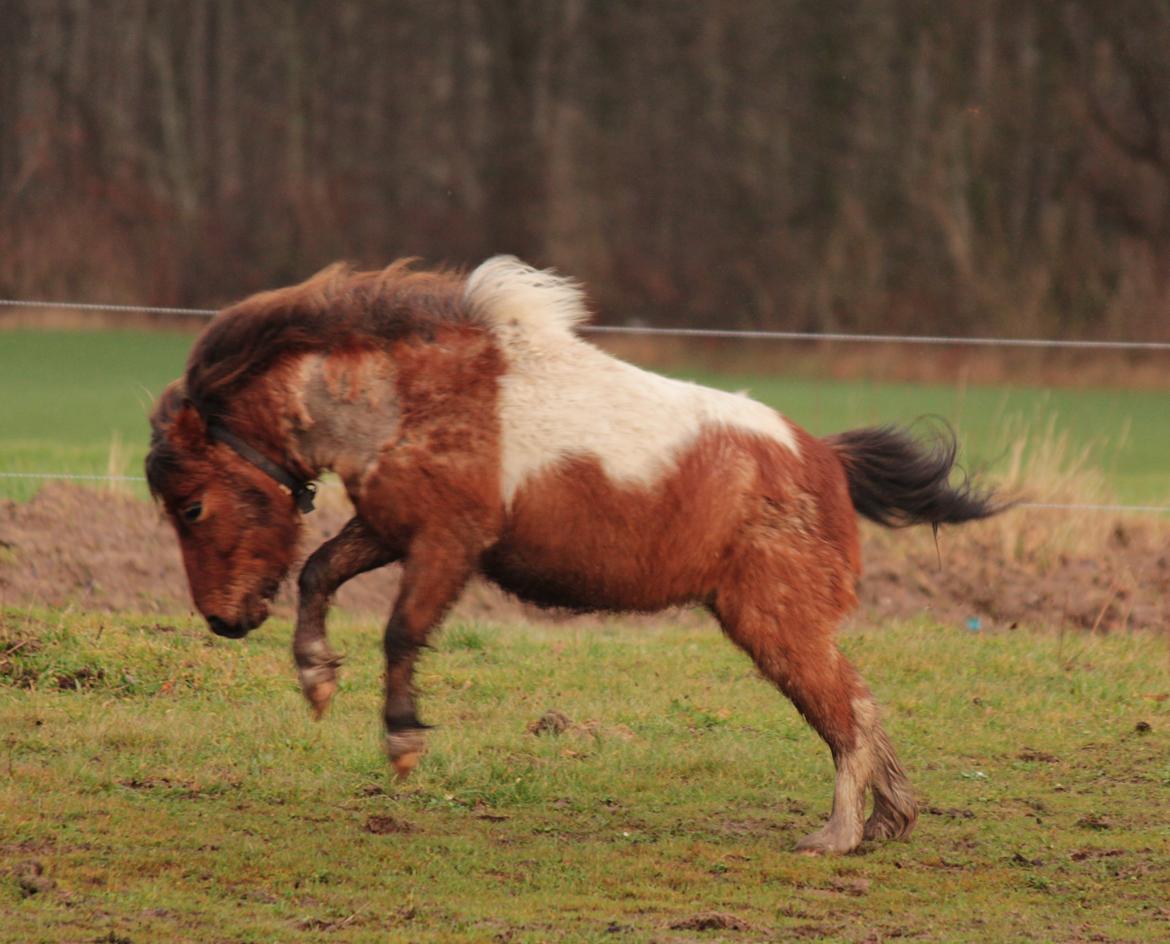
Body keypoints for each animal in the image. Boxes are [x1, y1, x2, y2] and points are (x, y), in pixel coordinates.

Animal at [141, 258, 992, 856]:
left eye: (192, 507)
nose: (222, 620)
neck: (408, 396)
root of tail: (824, 459)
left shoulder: (446, 543)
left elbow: (401, 632)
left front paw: (402, 739)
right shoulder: (388, 528)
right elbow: (319, 574)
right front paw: (317, 677)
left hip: (775, 621)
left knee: (846, 714)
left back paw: (837, 835)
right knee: (859, 704)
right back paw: (889, 820)